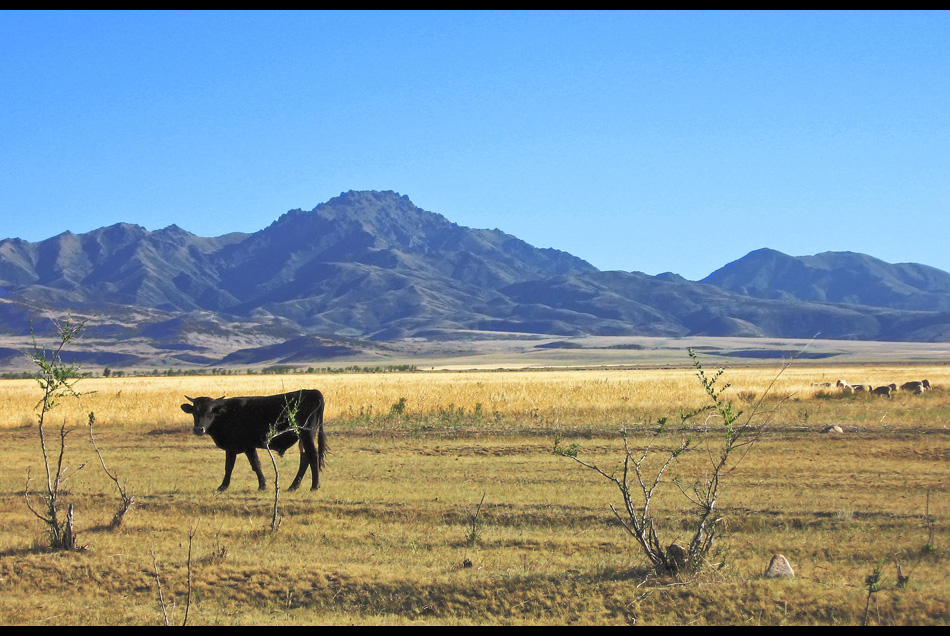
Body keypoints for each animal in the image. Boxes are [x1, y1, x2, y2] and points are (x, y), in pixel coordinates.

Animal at [181, 388, 328, 492]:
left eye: (210, 412)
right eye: (194, 412)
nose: (199, 429)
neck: (226, 414)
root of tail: (313, 392)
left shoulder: (237, 447)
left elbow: (235, 466)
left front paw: (223, 486)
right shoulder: (245, 447)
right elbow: (251, 464)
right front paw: (261, 485)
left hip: (307, 434)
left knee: (312, 455)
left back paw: (314, 486)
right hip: (302, 438)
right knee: (305, 458)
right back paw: (293, 486)